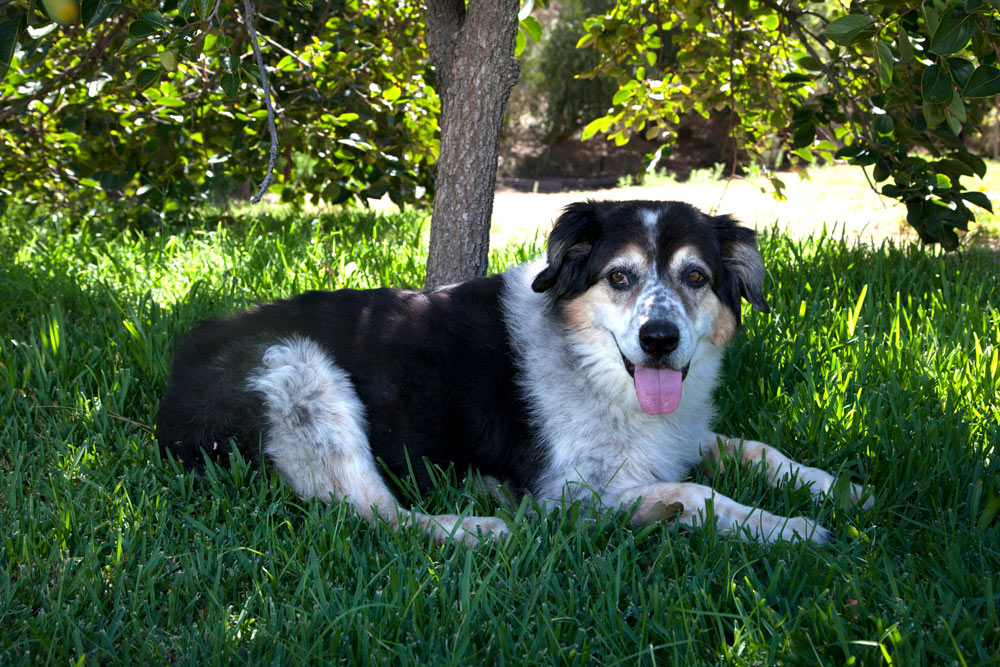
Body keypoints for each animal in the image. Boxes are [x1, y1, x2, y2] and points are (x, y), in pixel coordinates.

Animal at [152, 201, 872, 544]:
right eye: (619, 277)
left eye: (695, 277)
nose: (659, 340)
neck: (587, 365)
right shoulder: (569, 494)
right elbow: (698, 495)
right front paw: (789, 528)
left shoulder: (677, 437)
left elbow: (758, 448)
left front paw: (837, 488)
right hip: (302, 373)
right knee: (374, 516)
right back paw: (479, 526)